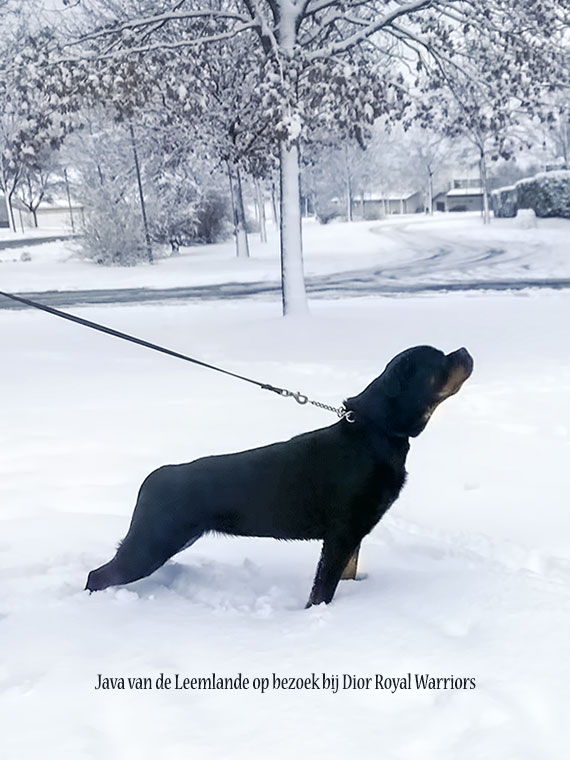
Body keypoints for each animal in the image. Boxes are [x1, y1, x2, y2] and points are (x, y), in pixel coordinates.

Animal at [87, 348, 470, 604]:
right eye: (439, 360)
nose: (464, 351)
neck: (376, 431)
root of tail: (153, 478)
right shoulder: (342, 533)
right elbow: (323, 588)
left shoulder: (352, 534)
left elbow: (346, 571)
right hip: (151, 544)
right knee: (98, 575)